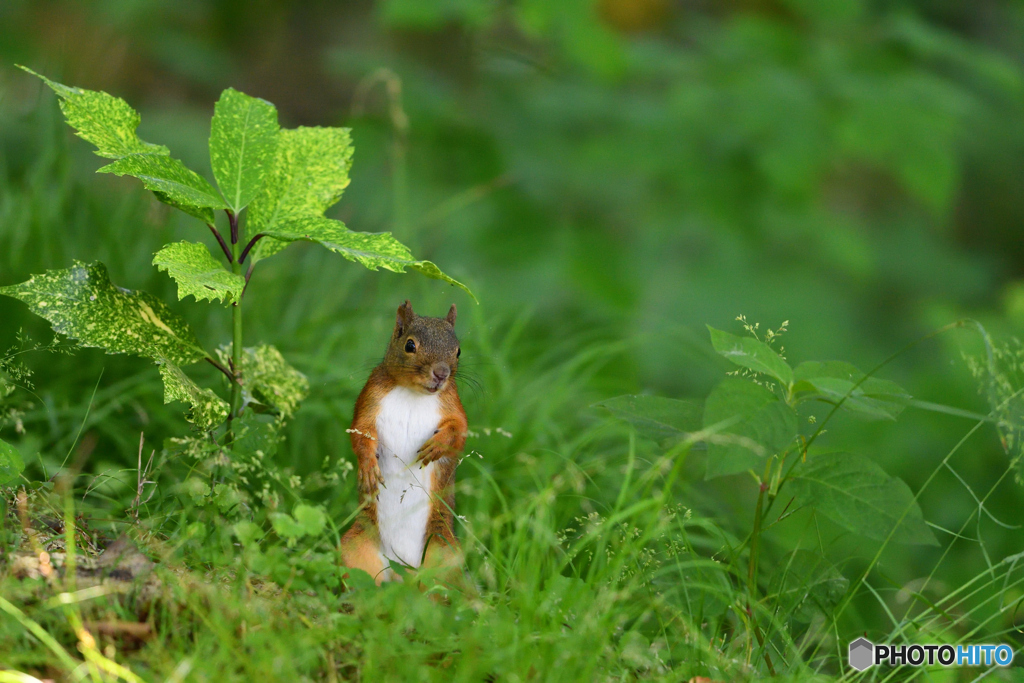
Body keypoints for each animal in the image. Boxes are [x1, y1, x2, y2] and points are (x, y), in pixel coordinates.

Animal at [339, 301, 468, 585]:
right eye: (410, 345)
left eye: (458, 351)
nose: (441, 374)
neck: (413, 393)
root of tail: (403, 572)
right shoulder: (370, 398)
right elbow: (360, 433)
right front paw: (368, 468)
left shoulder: (453, 403)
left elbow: (459, 431)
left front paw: (437, 446)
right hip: (355, 549)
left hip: (445, 554)